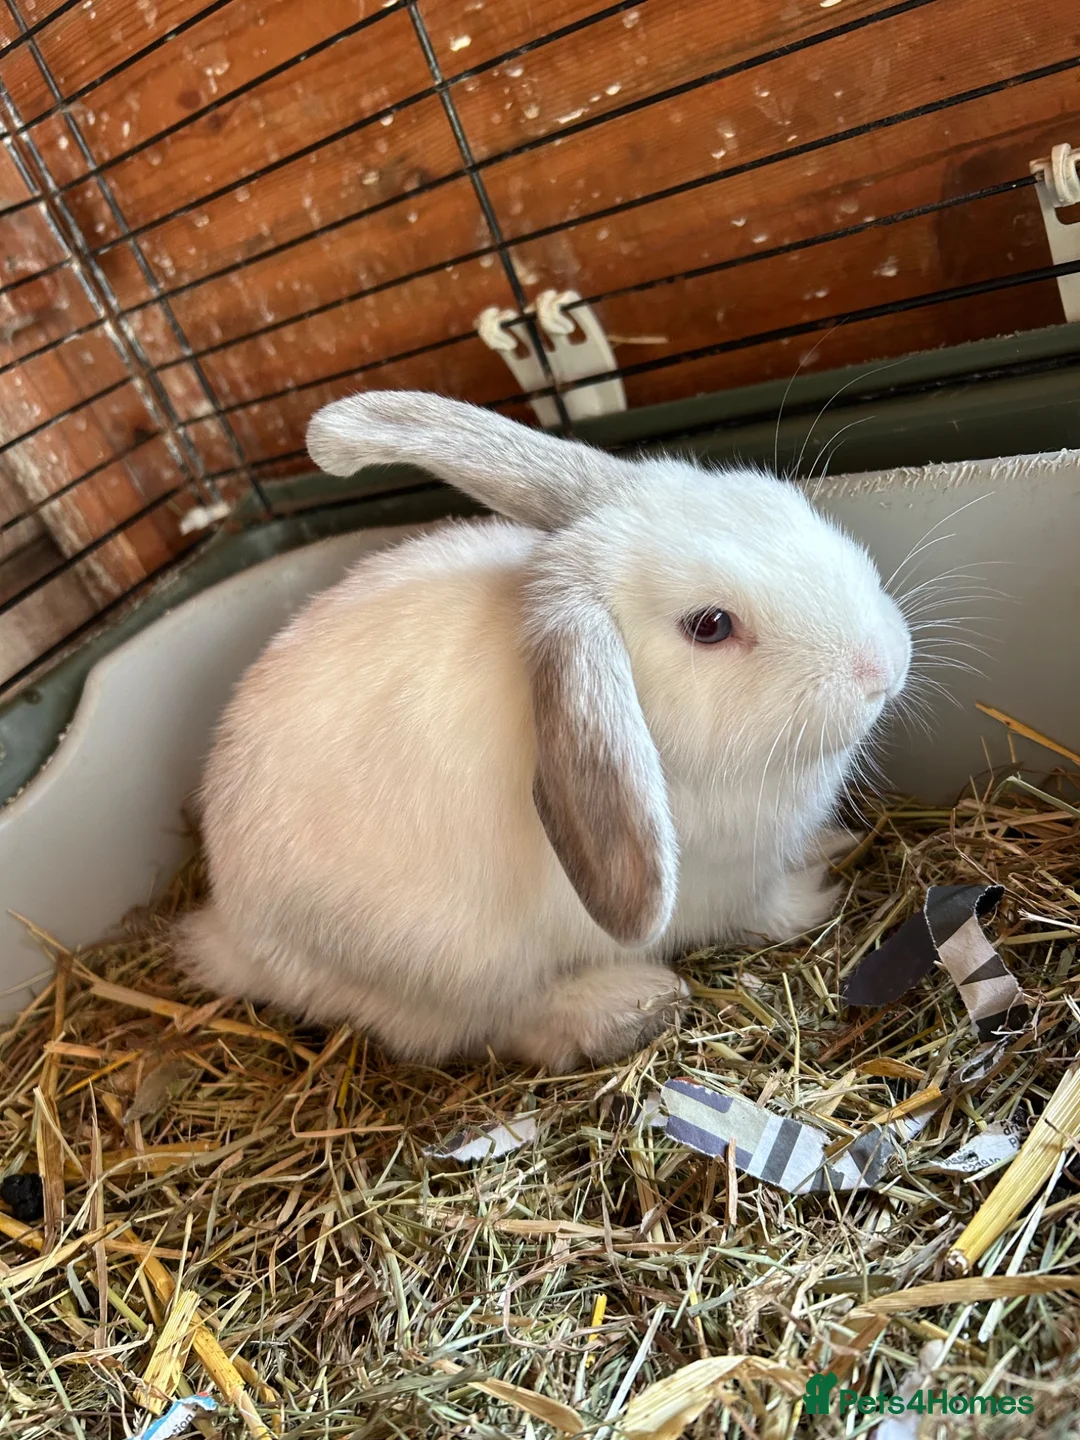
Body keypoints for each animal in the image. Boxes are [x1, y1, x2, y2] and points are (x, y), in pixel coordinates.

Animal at [178, 390, 911, 1071]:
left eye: (773, 499)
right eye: (710, 626)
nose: (885, 664)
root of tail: (234, 928)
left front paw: (833, 842)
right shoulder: (735, 887)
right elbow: (766, 911)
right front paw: (814, 897)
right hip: (452, 969)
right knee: (503, 1023)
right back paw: (630, 1004)